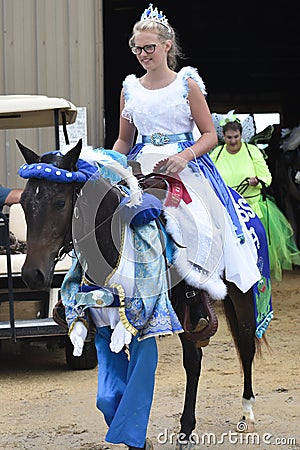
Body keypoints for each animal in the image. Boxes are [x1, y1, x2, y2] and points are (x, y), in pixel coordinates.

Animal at [15, 139, 264, 448]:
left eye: (60, 203)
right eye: (24, 203)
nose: (31, 274)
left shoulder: (144, 319)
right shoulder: (104, 323)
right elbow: (109, 390)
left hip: (241, 292)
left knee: (244, 345)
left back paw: (245, 413)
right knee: (195, 359)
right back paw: (188, 428)